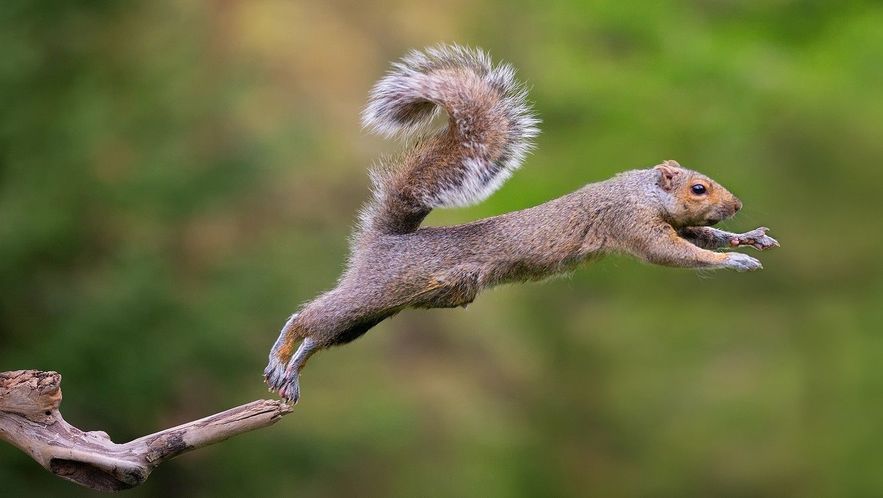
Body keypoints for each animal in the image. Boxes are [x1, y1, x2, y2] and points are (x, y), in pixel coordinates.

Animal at [262, 41, 780, 400]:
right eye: (698, 188)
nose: (736, 204)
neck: (641, 191)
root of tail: (385, 240)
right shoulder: (631, 222)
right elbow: (675, 252)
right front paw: (735, 262)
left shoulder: (671, 222)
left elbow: (702, 236)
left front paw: (746, 237)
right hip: (379, 288)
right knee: (311, 315)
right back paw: (282, 351)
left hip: (381, 309)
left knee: (326, 332)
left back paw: (294, 369)